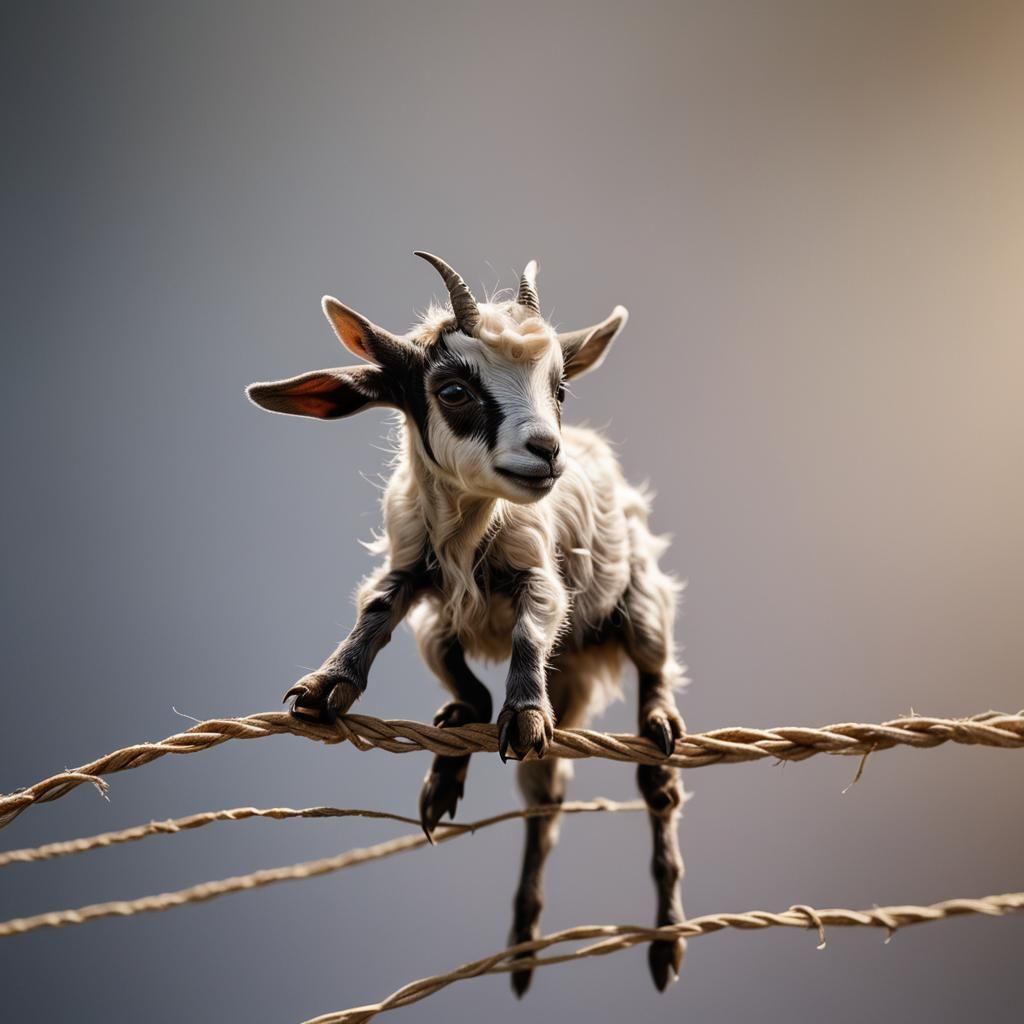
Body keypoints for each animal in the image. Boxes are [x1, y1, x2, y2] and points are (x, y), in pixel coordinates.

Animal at [246, 253, 688, 992]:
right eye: (452, 390)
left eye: (559, 389)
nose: (546, 452)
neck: (469, 529)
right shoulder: (420, 582)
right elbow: (384, 616)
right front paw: (328, 691)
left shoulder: (539, 573)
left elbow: (531, 631)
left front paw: (522, 716)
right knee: (545, 795)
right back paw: (524, 946)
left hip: (641, 596)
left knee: (655, 726)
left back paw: (665, 929)